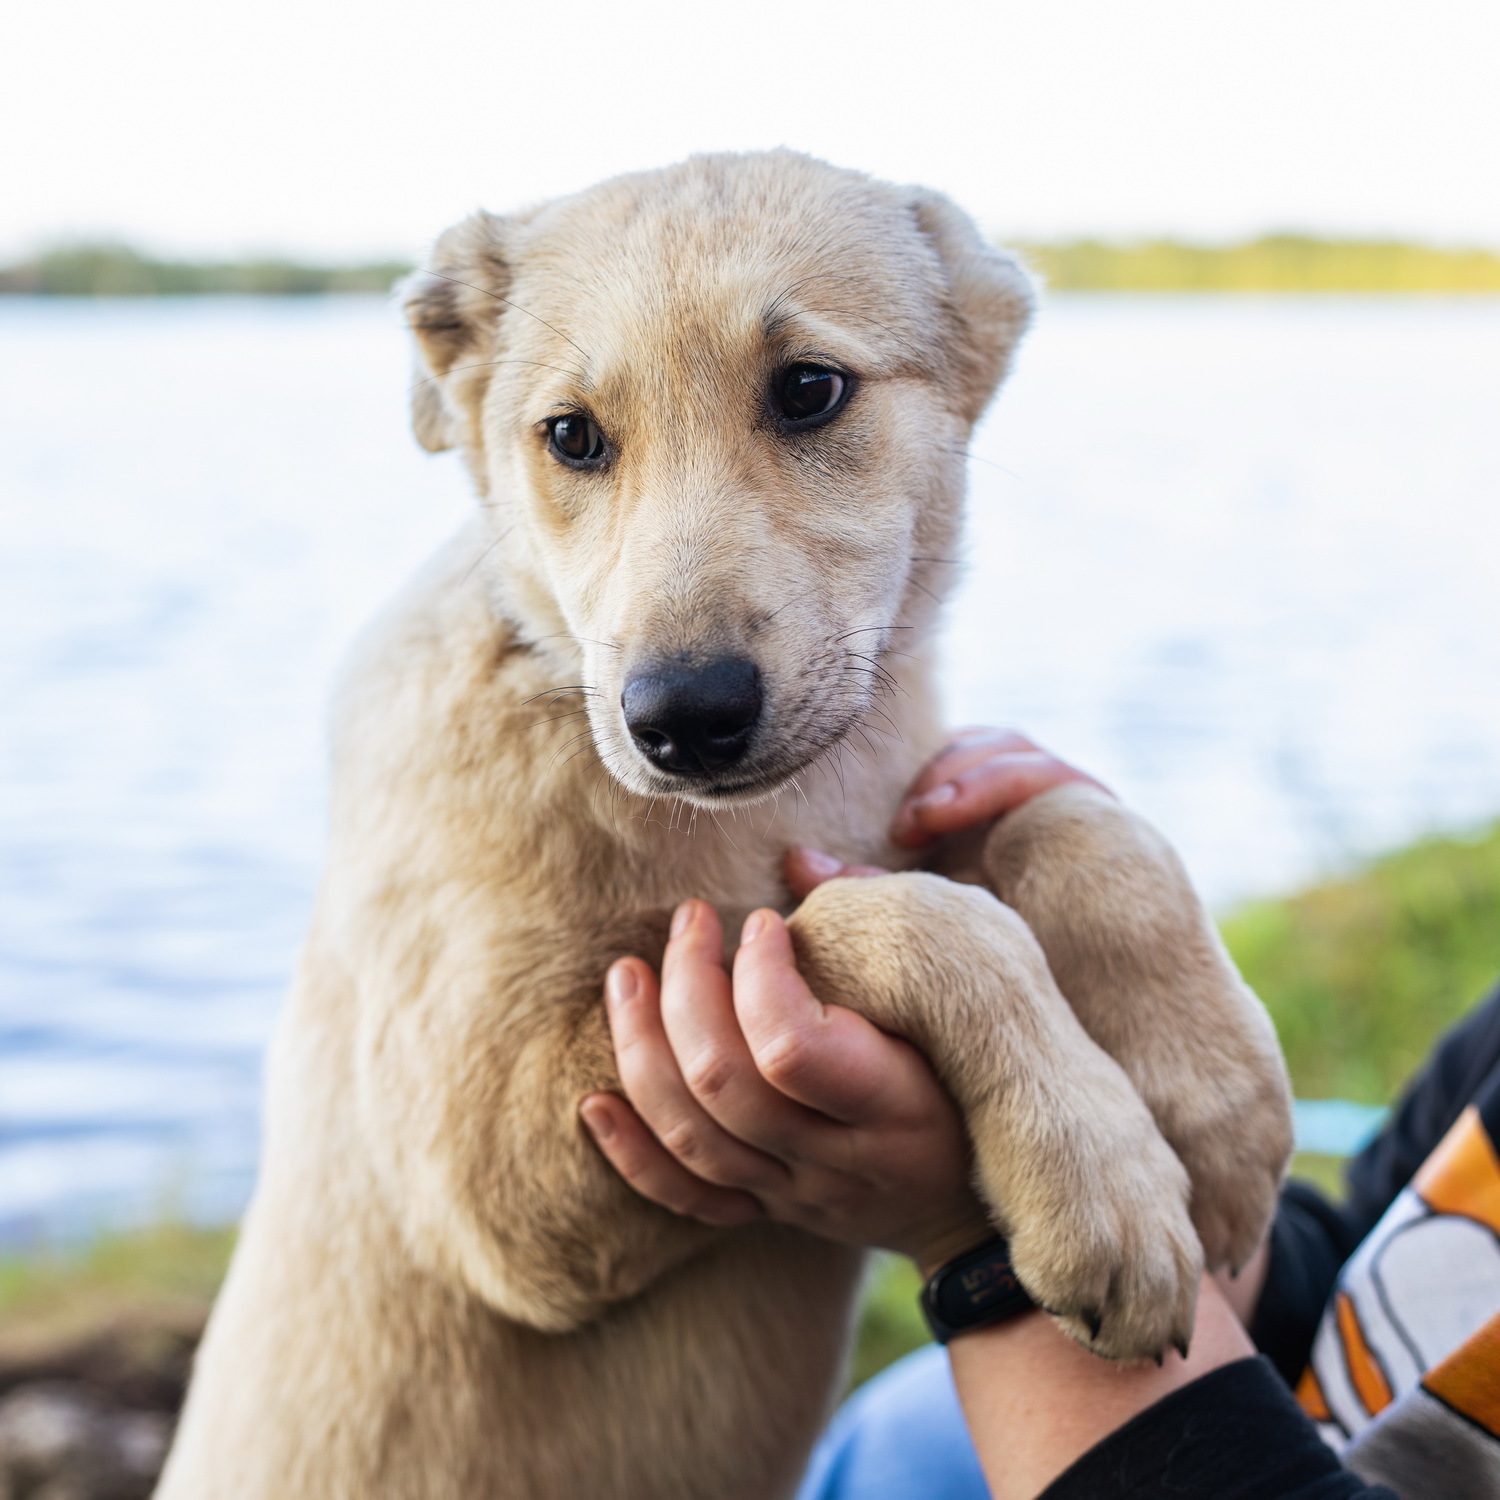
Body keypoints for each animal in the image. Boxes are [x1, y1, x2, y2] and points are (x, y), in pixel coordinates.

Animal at [158, 152, 1296, 1500]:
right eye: (570, 436)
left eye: (809, 390)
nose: (681, 719)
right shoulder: (484, 1180)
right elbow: (896, 918)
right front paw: (1101, 1179)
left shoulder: (904, 810)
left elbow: (1075, 826)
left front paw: (1214, 1107)